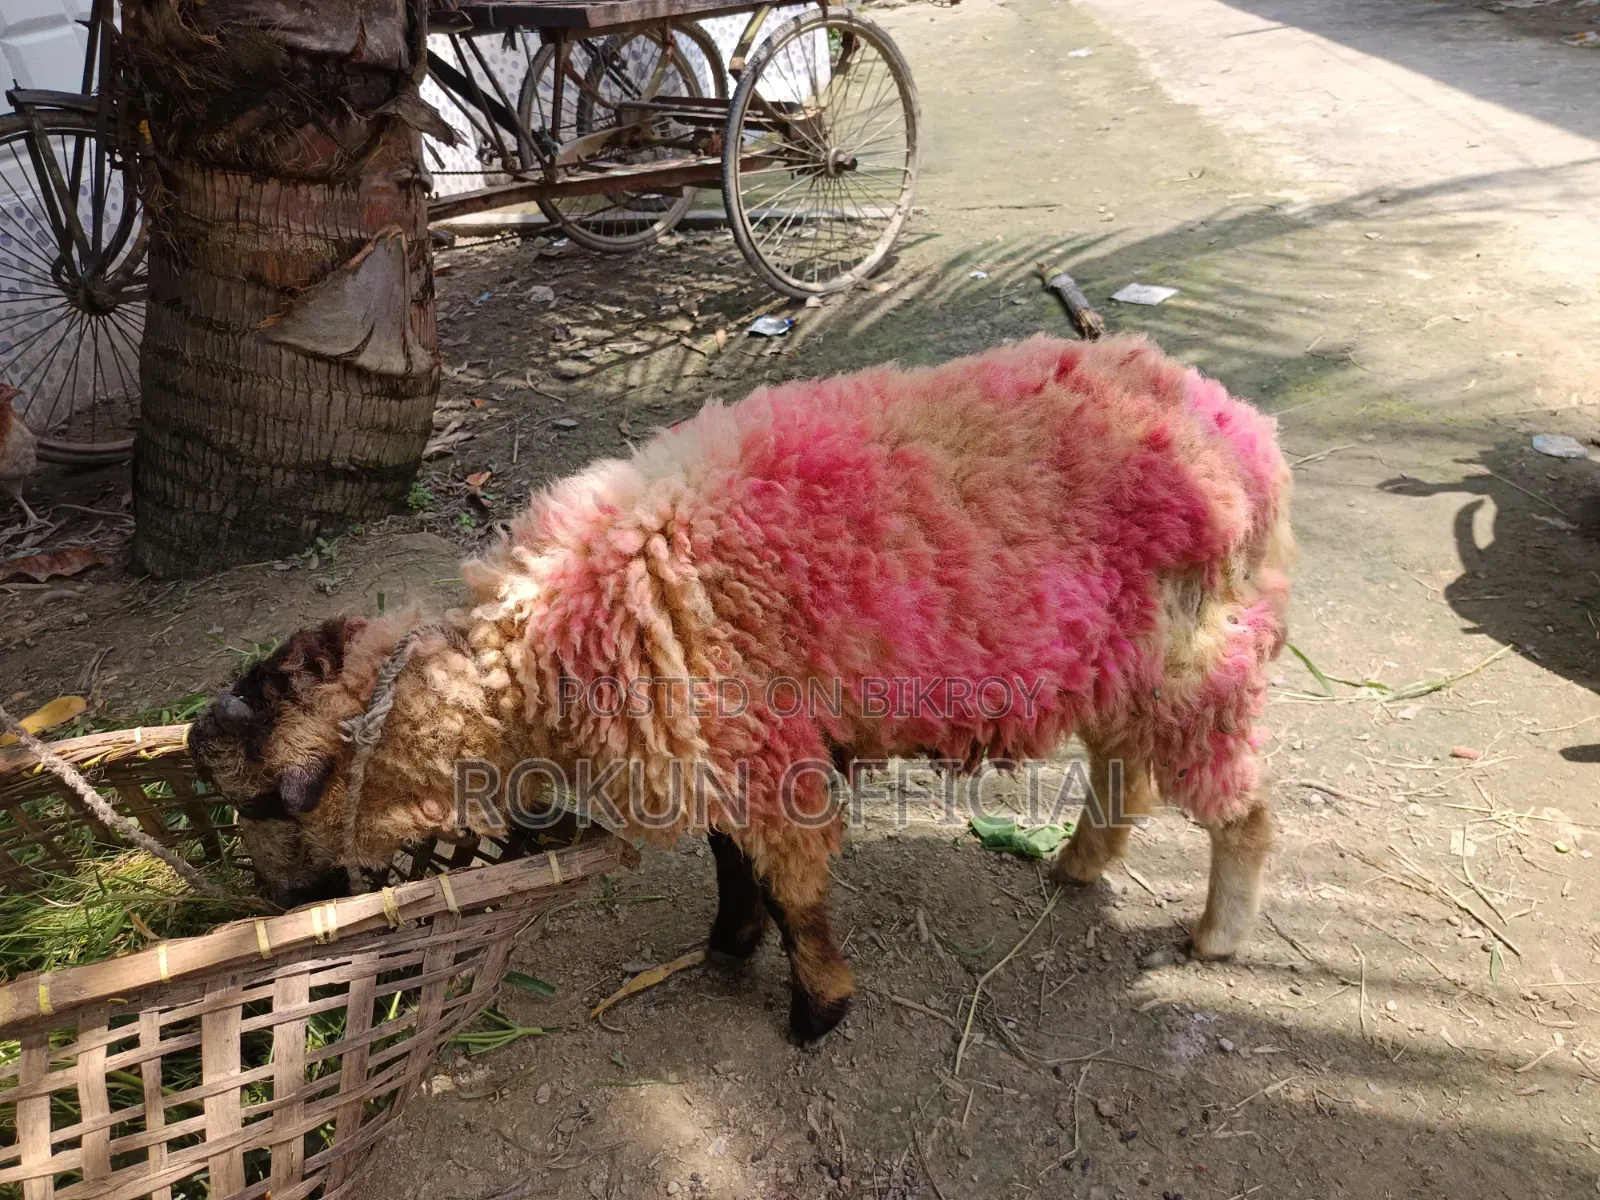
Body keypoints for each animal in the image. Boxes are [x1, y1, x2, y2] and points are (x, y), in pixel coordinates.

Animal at [189, 333, 1294, 1043]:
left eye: (268, 801)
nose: (263, 900)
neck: (537, 654)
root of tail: (1241, 427)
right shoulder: (730, 748)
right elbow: (733, 862)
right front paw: (730, 944)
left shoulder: (767, 755)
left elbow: (796, 889)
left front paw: (816, 1008)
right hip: (1123, 663)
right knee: (1124, 772)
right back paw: (1079, 862)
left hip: (1202, 658)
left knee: (1241, 811)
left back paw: (1217, 934)